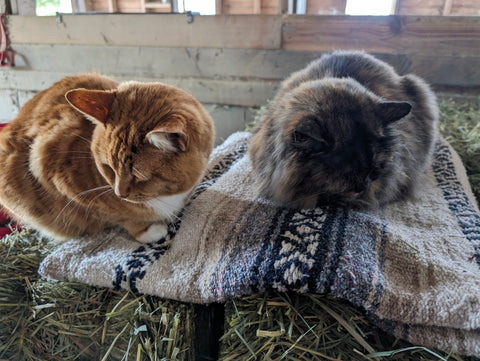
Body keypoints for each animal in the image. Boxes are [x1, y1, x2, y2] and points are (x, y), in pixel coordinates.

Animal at [0, 73, 215, 242]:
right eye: (108, 169)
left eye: (140, 176)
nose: (120, 194)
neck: (166, 195)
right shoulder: (54, 174)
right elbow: (119, 216)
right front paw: (148, 230)